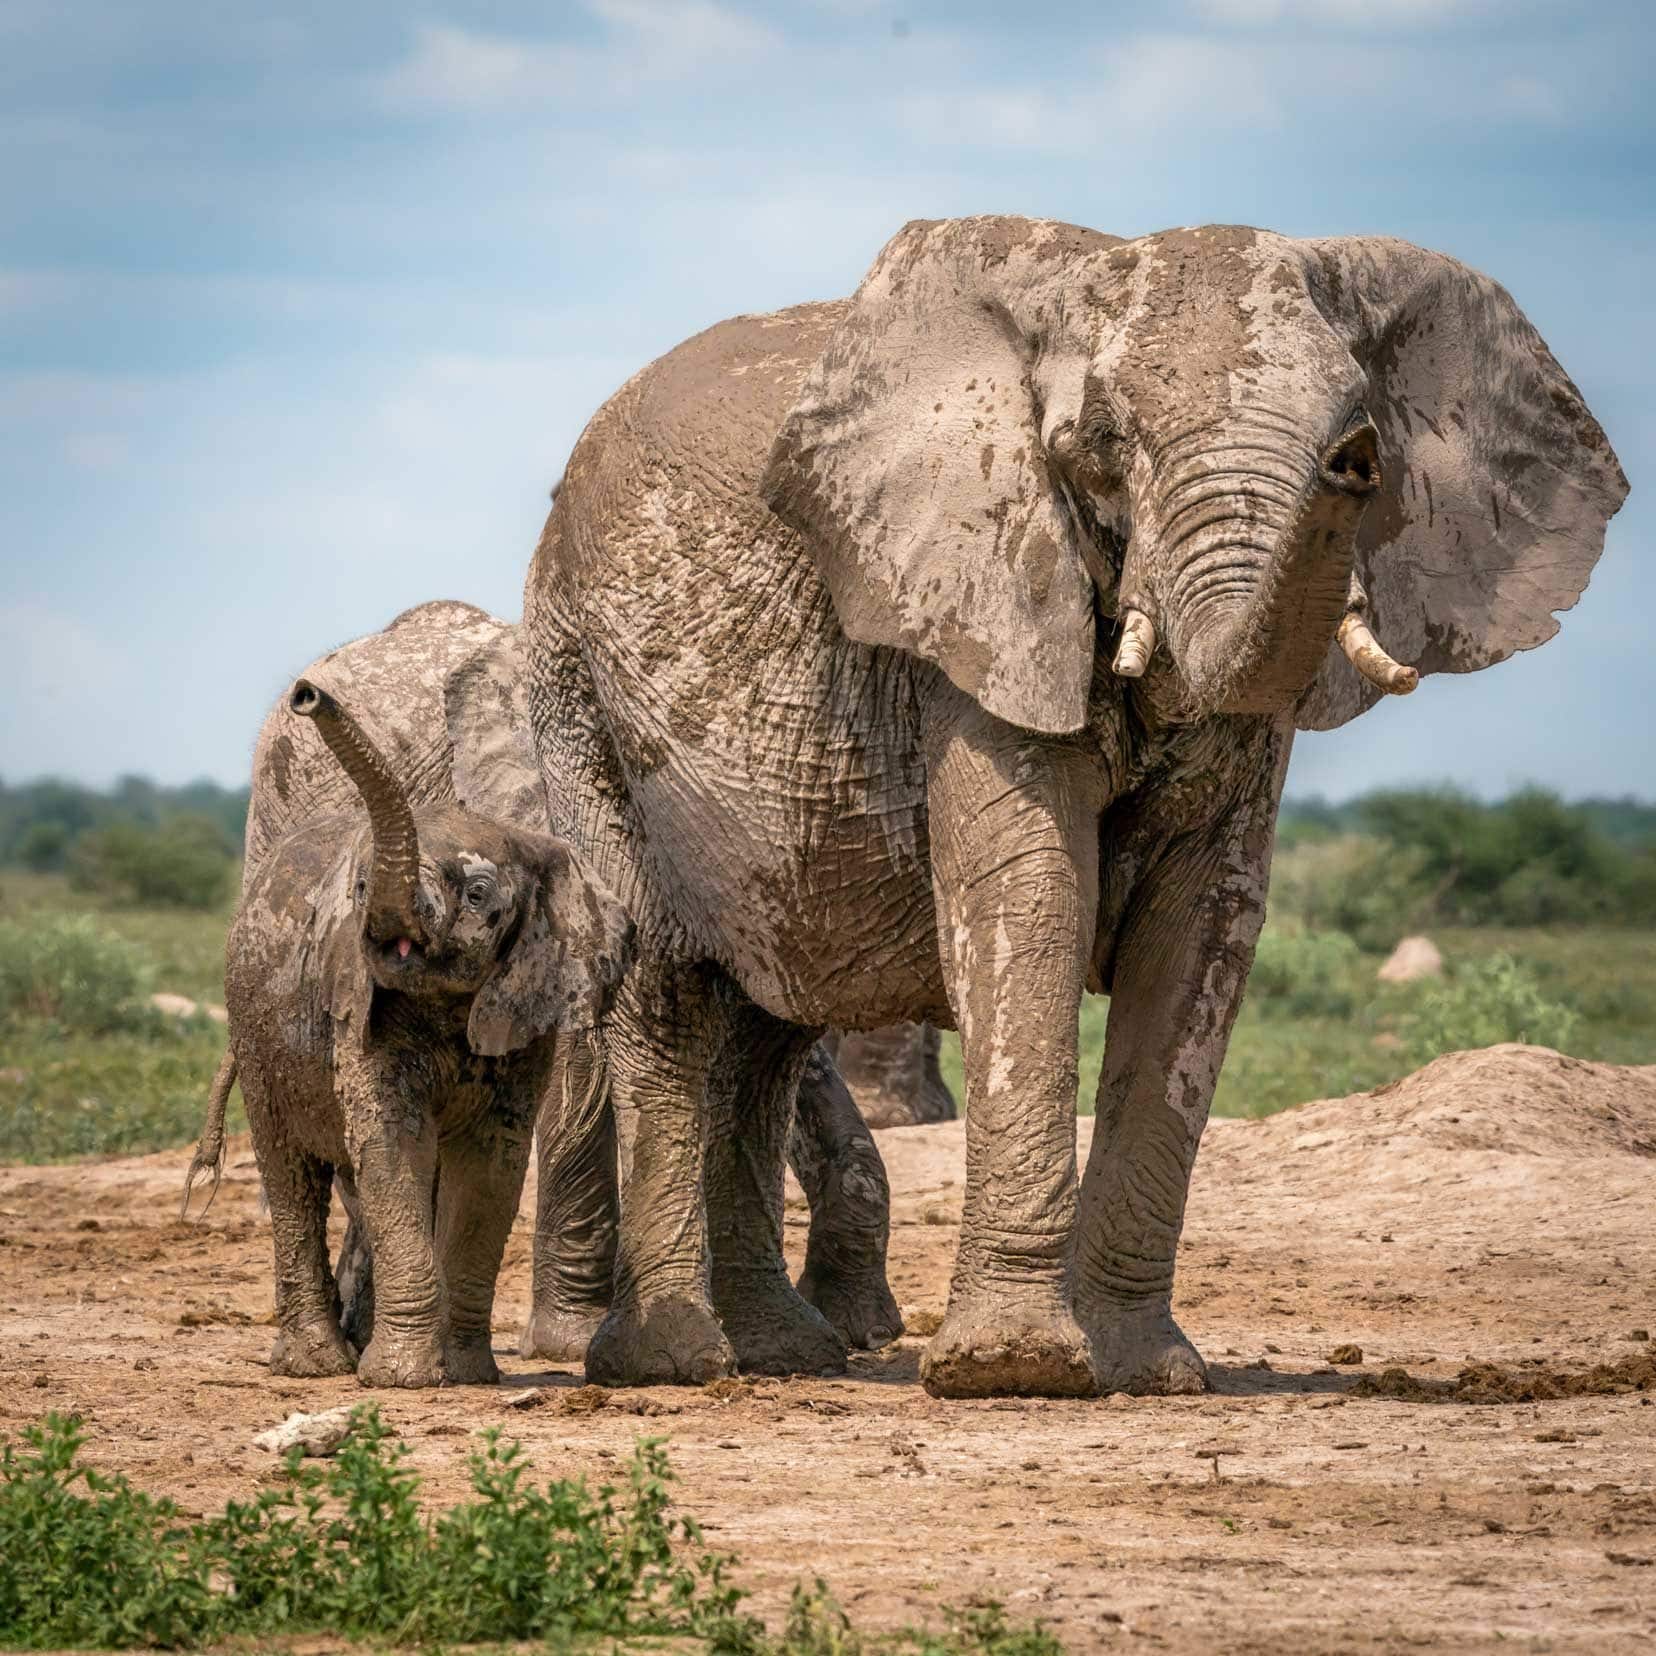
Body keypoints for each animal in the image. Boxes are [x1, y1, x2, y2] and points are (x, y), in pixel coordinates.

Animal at [236, 672, 635, 1384]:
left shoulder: (526, 1007)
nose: (308, 695)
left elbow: (490, 1163)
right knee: (290, 1174)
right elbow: (395, 1147)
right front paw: (404, 1379)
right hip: (256, 1036)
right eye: (359, 888)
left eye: (478, 894)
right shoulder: (360, 1012)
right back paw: (317, 1363)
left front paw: (467, 1373)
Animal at [523, 216, 1622, 1397]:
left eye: (1356, 417)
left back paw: (782, 1354)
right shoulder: (974, 611)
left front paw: (1146, 1371)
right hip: (576, 690)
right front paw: (1014, 1370)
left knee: (768, 1020)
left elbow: (1203, 928)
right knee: (667, 997)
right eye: (1102, 443)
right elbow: (1031, 895)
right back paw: (675, 1363)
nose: (1352, 461)